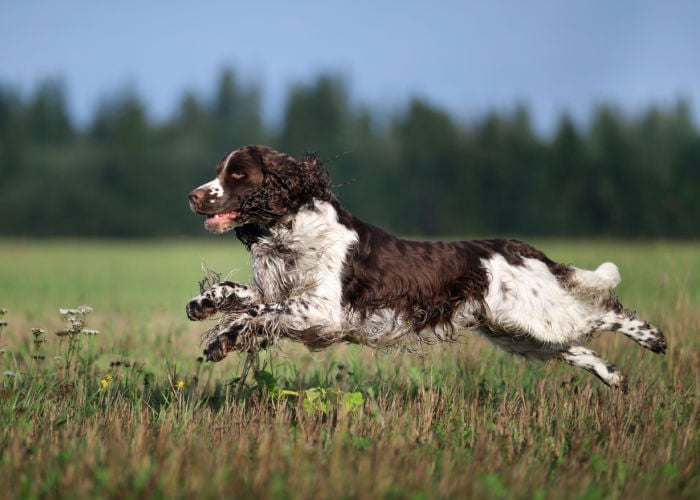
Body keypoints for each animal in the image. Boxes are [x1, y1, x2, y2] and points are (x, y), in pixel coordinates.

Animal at [187, 143, 668, 388]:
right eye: (219, 170)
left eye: (238, 175)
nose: (194, 195)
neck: (291, 229)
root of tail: (519, 247)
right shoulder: (287, 295)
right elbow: (248, 298)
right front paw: (206, 306)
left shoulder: (321, 310)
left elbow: (258, 312)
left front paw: (224, 334)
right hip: (515, 329)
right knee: (575, 346)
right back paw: (614, 377)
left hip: (534, 314)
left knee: (603, 312)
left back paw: (654, 339)